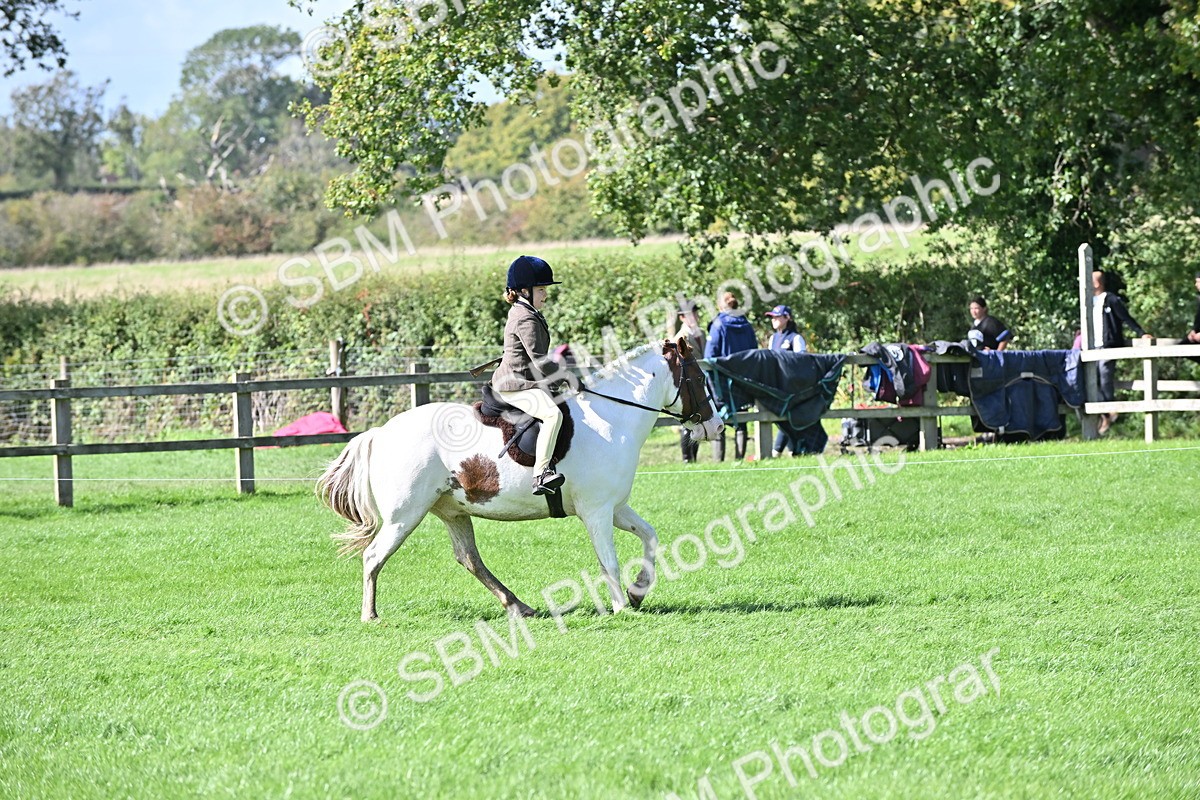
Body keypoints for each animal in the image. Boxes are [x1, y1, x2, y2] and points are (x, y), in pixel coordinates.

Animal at [316, 337, 723, 622]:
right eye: (699, 378)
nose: (717, 427)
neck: (611, 419)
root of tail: (380, 433)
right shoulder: (597, 511)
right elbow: (608, 559)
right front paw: (622, 606)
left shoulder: (616, 507)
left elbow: (650, 536)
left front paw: (638, 591)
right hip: (405, 515)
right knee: (374, 556)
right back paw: (370, 615)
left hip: (452, 511)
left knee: (469, 559)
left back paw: (518, 606)